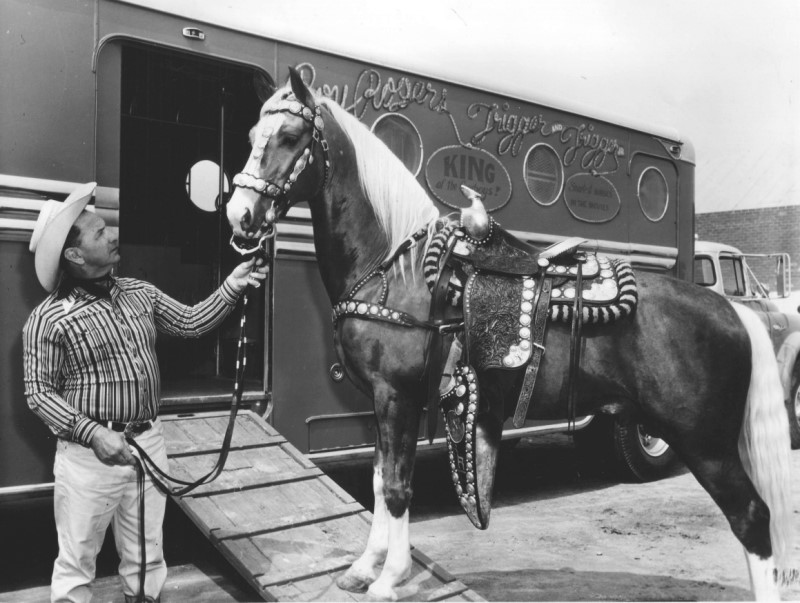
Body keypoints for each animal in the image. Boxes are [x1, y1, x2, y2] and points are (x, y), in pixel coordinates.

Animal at [226, 68, 795, 601]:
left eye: (290, 136)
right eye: (252, 132)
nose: (240, 215)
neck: (394, 269)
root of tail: (729, 307)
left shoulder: (396, 394)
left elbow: (396, 487)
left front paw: (389, 580)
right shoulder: (380, 401)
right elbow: (378, 477)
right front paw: (364, 569)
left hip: (704, 442)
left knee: (752, 518)